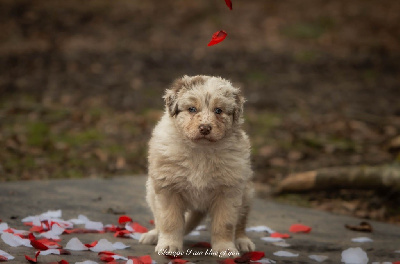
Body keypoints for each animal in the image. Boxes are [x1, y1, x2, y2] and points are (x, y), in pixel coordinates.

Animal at [139, 75, 255, 256]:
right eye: (192, 109)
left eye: (218, 110)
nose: (205, 128)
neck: (201, 150)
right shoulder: (167, 188)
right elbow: (170, 221)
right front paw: (169, 246)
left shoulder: (229, 192)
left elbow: (225, 225)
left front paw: (225, 248)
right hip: (151, 191)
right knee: (158, 220)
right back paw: (153, 235)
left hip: (246, 193)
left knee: (241, 222)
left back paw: (243, 241)